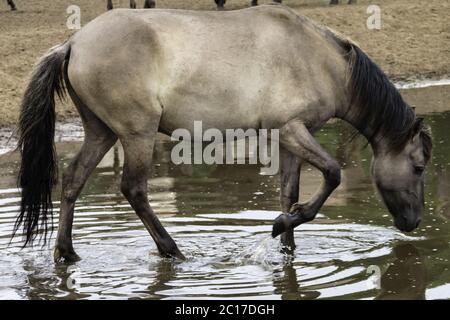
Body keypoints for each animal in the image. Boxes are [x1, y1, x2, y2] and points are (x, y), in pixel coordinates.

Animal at [12, 4, 430, 262]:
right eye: (419, 166)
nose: (414, 222)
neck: (319, 59)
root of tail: (74, 42)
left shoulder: (291, 138)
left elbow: (290, 192)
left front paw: (288, 245)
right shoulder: (291, 130)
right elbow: (332, 173)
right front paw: (282, 225)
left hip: (101, 132)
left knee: (73, 180)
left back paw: (67, 253)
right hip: (136, 134)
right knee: (133, 189)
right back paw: (172, 251)